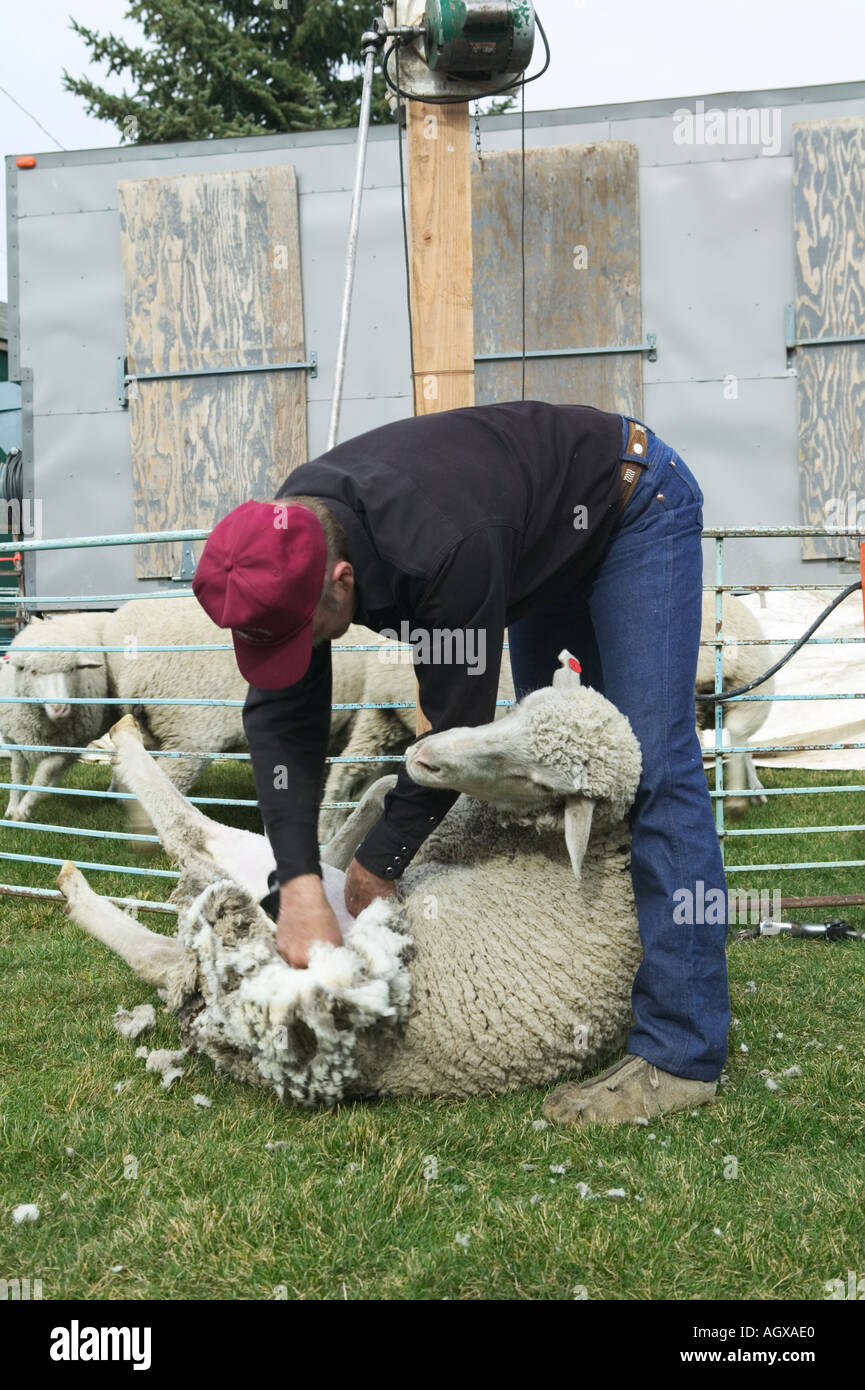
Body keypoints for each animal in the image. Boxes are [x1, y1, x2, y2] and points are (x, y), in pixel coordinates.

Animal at [0, 613, 111, 822]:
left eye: (72, 669)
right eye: (33, 671)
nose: (60, 708)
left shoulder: (66, 747)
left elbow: (43, 773)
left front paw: (23, 809)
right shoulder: (14, 740)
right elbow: (17, 772)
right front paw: (12, 807)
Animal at [54, 653, 643, 1103]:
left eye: (534, 779)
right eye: (519, 707)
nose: (425, 755)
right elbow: (378, 792)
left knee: (192, 840)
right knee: (170, 952)